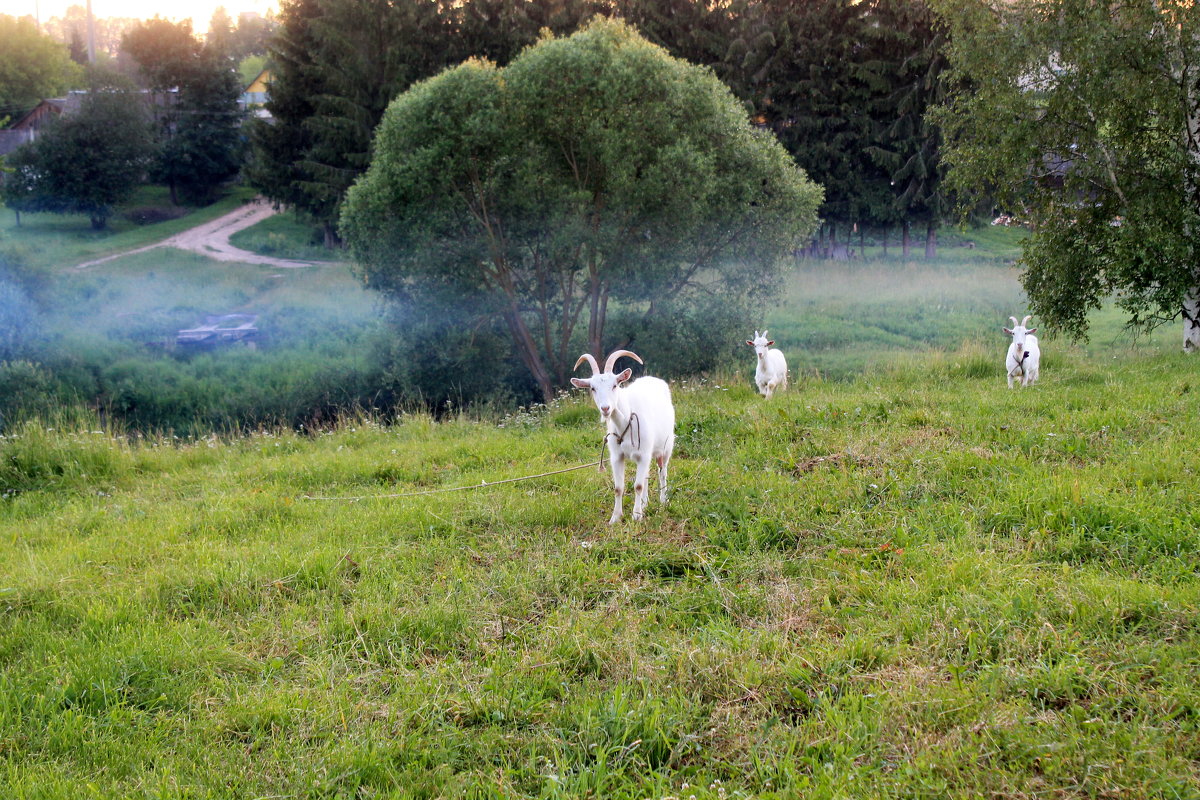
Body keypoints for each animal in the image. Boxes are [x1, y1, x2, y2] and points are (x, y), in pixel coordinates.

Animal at [571, 350, 676, 525]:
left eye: (615, 385)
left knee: (662, 471)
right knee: (647, 475)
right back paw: (645, 503)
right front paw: (615, 517)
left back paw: (663, 501)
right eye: (593, 388)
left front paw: (636, 515)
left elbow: (638, 486)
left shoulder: (644, 454)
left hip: (666, 447)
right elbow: (618, 488)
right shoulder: (617, 457)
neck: (626, 421)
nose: (605, 408)